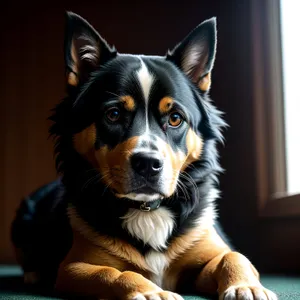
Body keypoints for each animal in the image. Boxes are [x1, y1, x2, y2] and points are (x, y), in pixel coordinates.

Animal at [10, 11, 278, 300]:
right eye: (114, 114)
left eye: (175, 118)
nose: (148, 164)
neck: (148, 209)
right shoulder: (74, 267)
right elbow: (112, 272)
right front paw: (150, 292)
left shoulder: (205, 253)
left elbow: (234, 256)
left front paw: (246, 286)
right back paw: (33, 274)